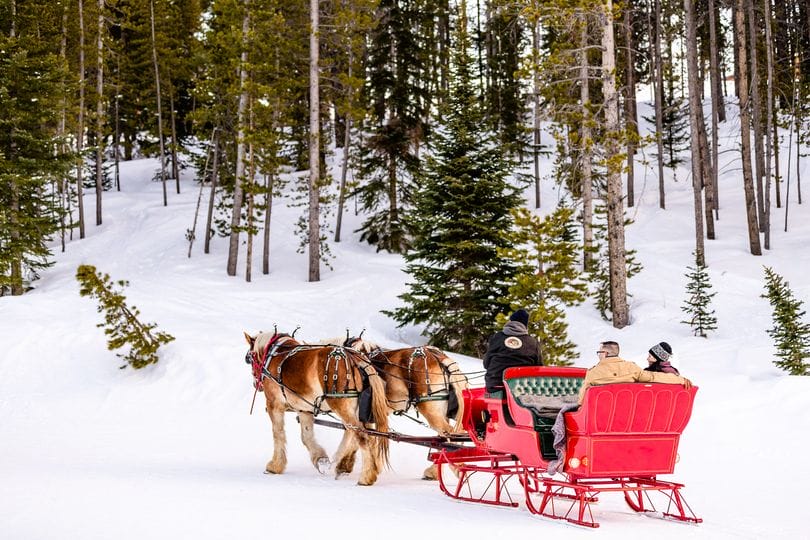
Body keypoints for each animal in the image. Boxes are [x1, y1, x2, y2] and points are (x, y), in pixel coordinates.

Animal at [243, 330, 388, 486]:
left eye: (249, 358)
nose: (256, 384)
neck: (274, 354)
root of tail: (354, 358)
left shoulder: (274, 404)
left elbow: (278, 434)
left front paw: (275, 466)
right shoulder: (304, 409)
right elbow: (306, 436)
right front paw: (320, 459)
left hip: (341, 406)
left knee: (361, 436)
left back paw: (366, 476)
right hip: (360, 410)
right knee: (365, 435)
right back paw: (352, 465)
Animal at [326, 334, 470, 480]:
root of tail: (439, 357)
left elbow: (352, 436)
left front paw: (339, 464)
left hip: (431, 411)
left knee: (454, 435)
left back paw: (456, 468)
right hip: (441, 411)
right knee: (446, 438)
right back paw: (435, 471)